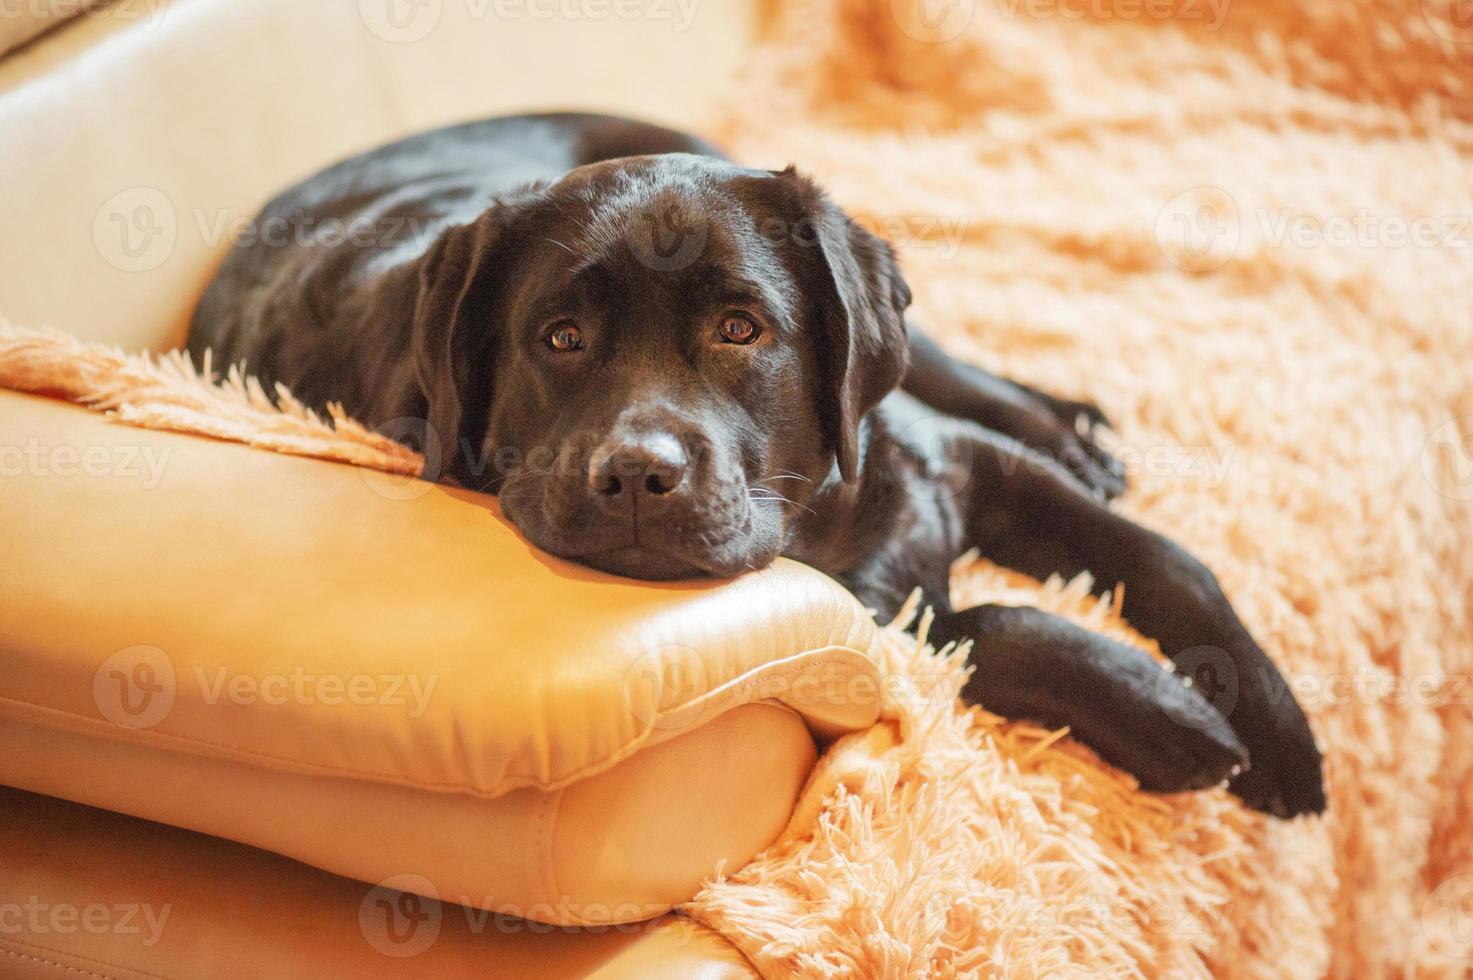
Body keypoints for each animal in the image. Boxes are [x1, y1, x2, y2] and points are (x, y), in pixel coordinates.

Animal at [190, 110, 1331, 813]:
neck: (828, 503)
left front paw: (1277, 731)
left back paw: (1071, 426)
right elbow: (1001, 622)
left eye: (741, 328)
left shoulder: (971, 469)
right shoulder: (882, 616)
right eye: (559, 337)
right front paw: (1170, 715)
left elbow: (1175, 564)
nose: (637, 474)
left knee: (960, 371)